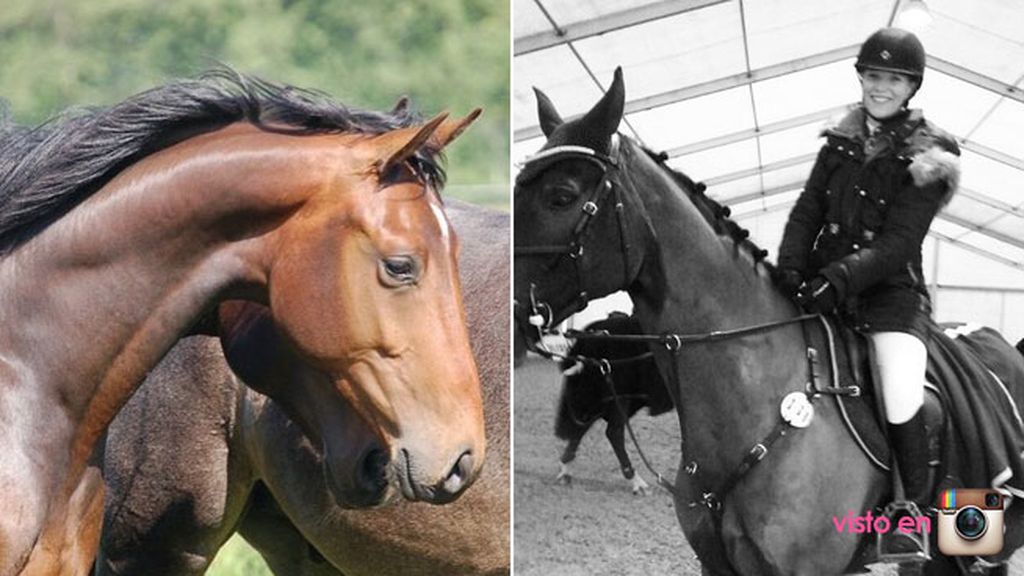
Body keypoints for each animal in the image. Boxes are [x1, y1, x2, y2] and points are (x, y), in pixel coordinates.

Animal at [554, 313, 672, 495]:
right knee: (612, 432)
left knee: (585, 426)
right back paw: (637, 482)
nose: (560, 431)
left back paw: (565, 468)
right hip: (617, 397)